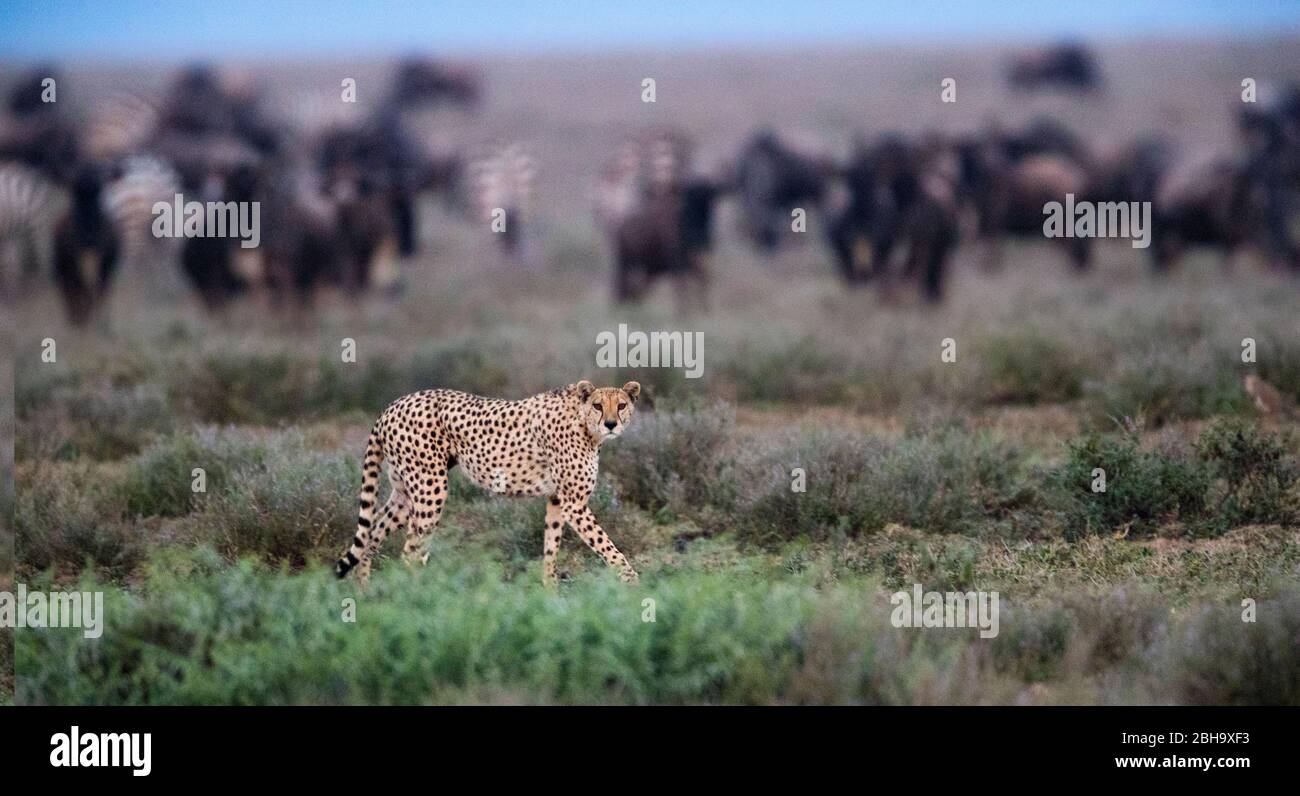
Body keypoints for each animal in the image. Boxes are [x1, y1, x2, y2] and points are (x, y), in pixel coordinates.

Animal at [332, 379, 642, 585]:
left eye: (621, 405)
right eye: (598, 406)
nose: (611, 424)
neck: (585, 425)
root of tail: (392, 405)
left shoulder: (557, 500)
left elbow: (551, 550)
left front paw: (550, 595)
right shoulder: (574, 504)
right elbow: (607, 546)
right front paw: (633, 583)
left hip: (405, 492)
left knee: (370, 535)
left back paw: (368, 595)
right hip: (431, 488)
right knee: (410, 552)